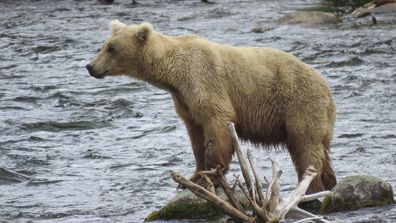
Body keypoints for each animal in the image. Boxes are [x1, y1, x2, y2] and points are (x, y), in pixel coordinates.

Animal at [85, 20, 336, 193]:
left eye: (112, 48)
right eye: (103, 45)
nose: (90, 66)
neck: (173, 75)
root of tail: (326, 86)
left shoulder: (203, 80)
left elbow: (217, 124)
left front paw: (211, 176)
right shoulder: (184, 101)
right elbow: (196, 136)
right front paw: (192, 177)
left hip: (299, 104)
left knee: (305, 146)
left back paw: (311, 186)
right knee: (320, 150)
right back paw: (329, 182)